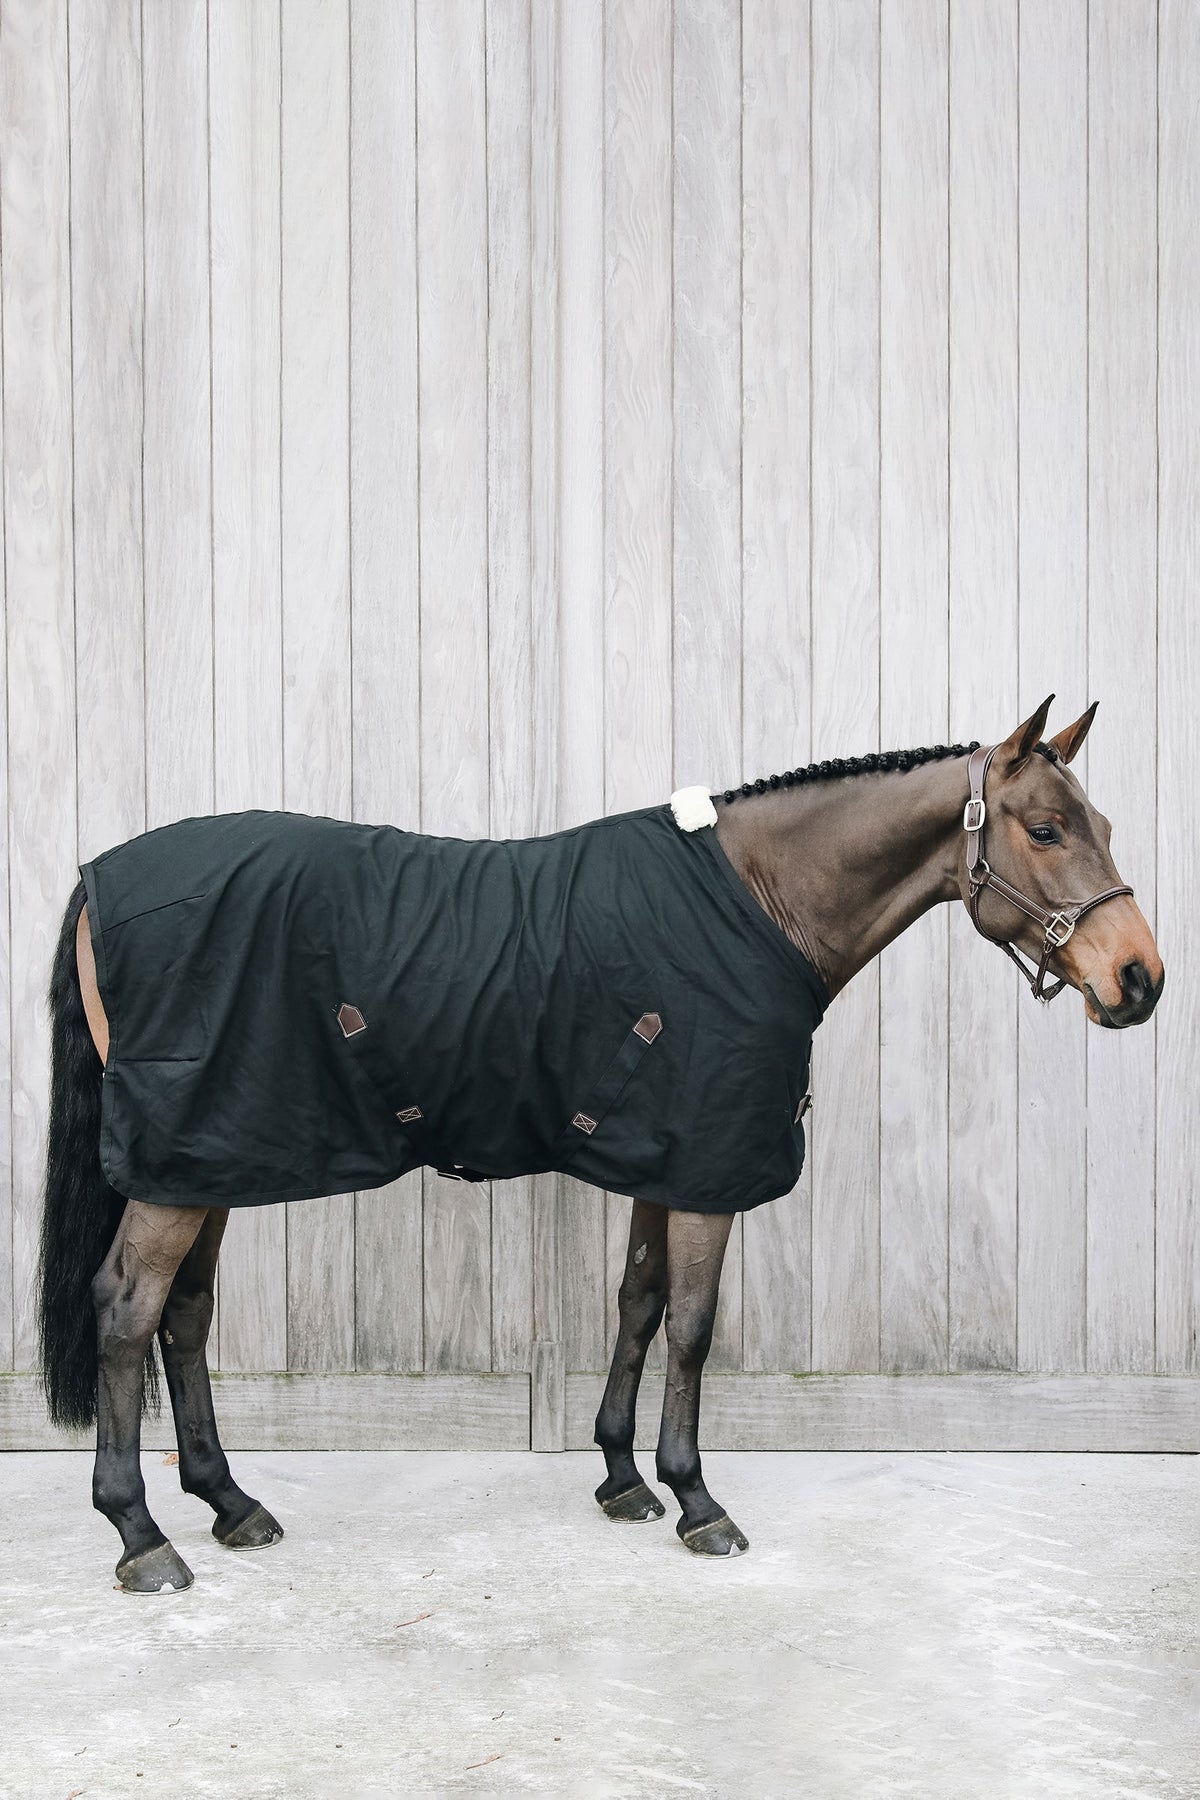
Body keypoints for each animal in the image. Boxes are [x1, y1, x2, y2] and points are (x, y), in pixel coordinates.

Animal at [35, 694, 1163, 1591]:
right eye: (1047, 829)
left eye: (1101, 823)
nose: (1140, 980)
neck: (757, 902)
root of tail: (97, 878)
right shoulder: (708, 1171)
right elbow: (694, 1327)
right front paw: (698, 1500)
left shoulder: (665, 1157)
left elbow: (639, 1302)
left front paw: (623, 1478)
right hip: (179, 1168)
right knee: (127, 1309)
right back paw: (141, 1534)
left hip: (212, 1157)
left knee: (184, 1314)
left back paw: (230, 1504)